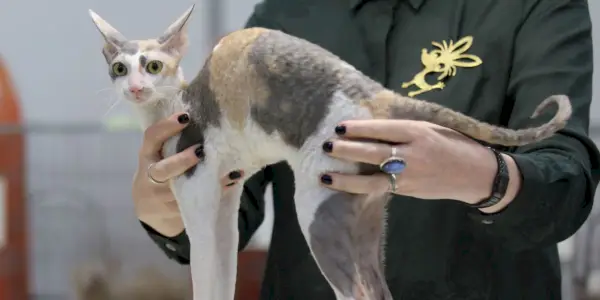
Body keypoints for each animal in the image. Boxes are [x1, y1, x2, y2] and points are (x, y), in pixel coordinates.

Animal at [86, 5, 568, 300]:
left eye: (153, 66)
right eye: (119, 68)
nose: (135, 87)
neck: (175, 104)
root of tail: (376, 93)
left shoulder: (199, 191)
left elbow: (207, 276)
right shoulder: (225, 192)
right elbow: (224, 271)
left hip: (318, 203)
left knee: (353, 291)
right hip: (362, 210)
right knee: (377, 290)